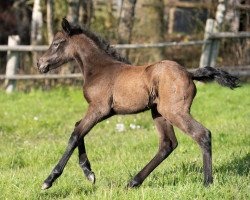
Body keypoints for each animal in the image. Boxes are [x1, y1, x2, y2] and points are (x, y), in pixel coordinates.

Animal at [36, 18, 238, 190]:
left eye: (56, 43)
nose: (40, 64)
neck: (100, 70)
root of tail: (189, 73)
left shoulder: (98, 109)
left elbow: (75, 135)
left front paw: (49, 180)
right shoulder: (106, 112)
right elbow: (78, 129)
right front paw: (89, 173)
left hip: (174, 111)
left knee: (202, 134)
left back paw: (207, 183)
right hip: (159, 113)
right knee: (167, 144)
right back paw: (133, 182)